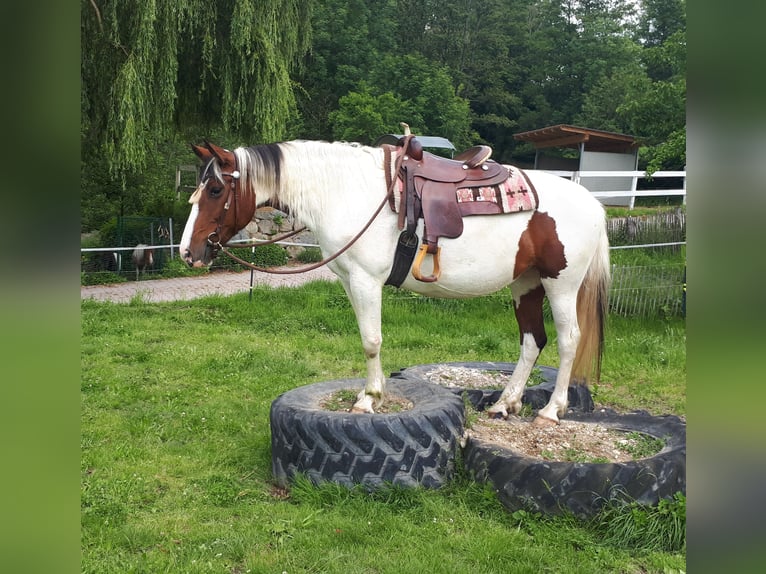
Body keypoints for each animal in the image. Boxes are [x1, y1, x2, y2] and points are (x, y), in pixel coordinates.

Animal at [180, 140, 612, 428]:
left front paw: (368, 399)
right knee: (532, 341)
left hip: (561, 284)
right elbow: (366, 338)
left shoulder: (366, 280)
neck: (345, 193)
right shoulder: (349, 281)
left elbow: (372, 340)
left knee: (567, 340)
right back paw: (505, 404)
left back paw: (551, 411)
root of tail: (592, 202)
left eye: (216, 189)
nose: (188, 252)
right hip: (526, 283)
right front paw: (374, 392)